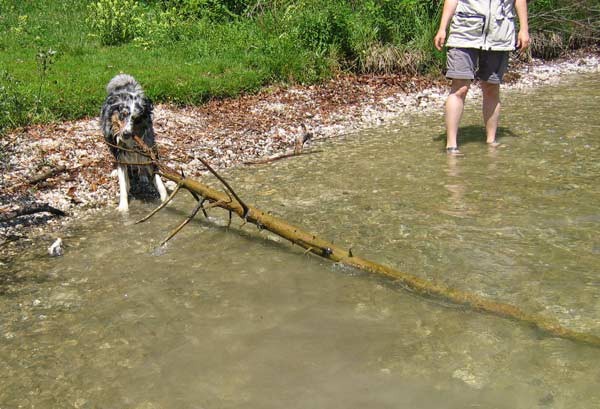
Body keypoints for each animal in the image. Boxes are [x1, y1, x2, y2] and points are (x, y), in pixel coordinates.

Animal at [99, 74, 168, 212]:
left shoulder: (148, 148)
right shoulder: (120, 152)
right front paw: (123, 207)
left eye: (136, 119)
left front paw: (166, 199)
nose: (126, 134)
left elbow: (158, 180)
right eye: (122, 115)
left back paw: (143, 176)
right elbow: (122, 182)